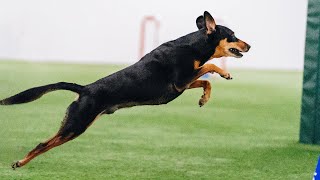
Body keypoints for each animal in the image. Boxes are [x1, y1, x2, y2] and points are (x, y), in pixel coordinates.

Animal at [0, 11, 250, 169]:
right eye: (233, 35)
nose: (249, 45)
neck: (193, 47)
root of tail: (84, 89)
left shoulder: (183, 84)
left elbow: (206, 81)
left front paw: (204, 99)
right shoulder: (181, 81)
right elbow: (209, 67)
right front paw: (224, 73)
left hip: (75, 125)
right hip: (76, 124)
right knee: (43, 144)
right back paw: (20, 163)